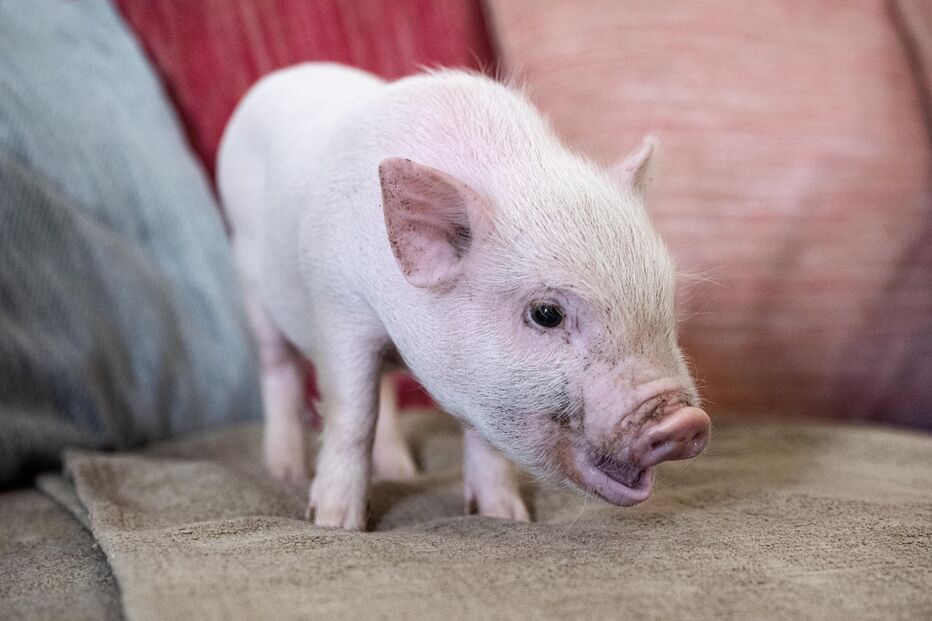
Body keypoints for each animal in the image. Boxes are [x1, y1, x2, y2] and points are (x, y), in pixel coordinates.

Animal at [217, 63, 710, 530]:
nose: (686, 422)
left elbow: (482, 439)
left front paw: (506, 517)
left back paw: (401, 472)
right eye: (546, 314)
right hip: (248, 277)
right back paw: (285, 472)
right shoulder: (340, 305)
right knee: (278, 368)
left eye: (664, 303)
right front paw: (335, 523)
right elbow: (353, 415)